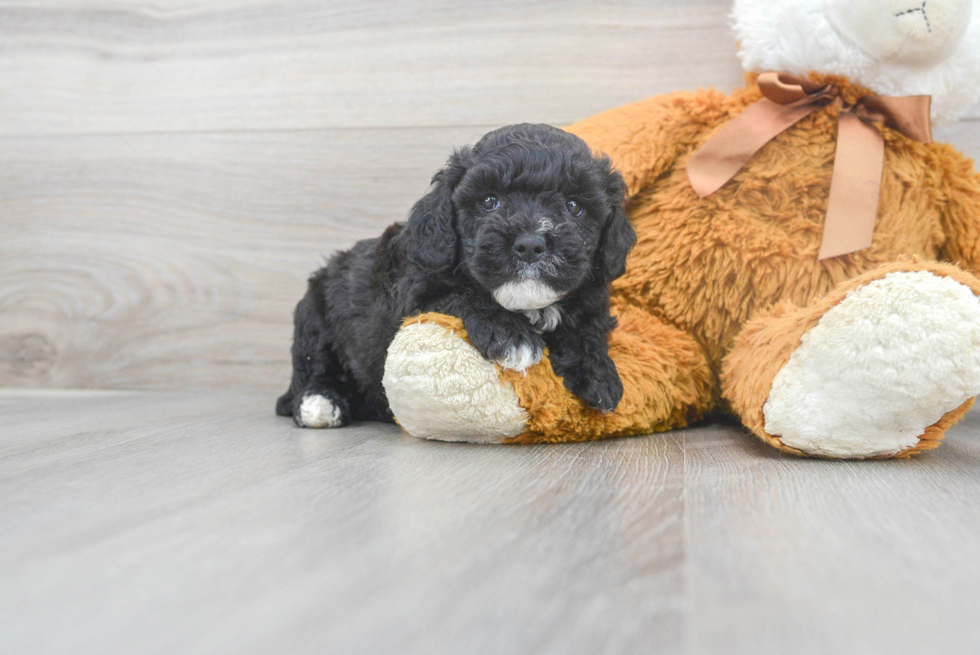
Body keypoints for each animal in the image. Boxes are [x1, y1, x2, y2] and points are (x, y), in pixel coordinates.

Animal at [278, 123, 636, 430]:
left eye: (574, 206)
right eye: (490, 201)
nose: (531, 244)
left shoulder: (590, 297)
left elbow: (587, 328)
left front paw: (599, 374)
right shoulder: (413, 295)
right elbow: (463, 295)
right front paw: (511, 336)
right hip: (314, 318)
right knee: (314, 367)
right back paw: (319, 403)